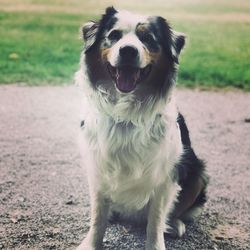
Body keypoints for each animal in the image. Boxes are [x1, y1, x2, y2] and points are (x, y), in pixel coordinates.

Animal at [75, 6, 208, 250]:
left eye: (147, 39)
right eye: (114, 35)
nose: (128, 51)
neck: (127, 114)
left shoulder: (166, 176)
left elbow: (155, 223)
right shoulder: (98, 169)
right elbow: (97, 218)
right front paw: (90, 243)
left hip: (197, 172)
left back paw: (174, 224)